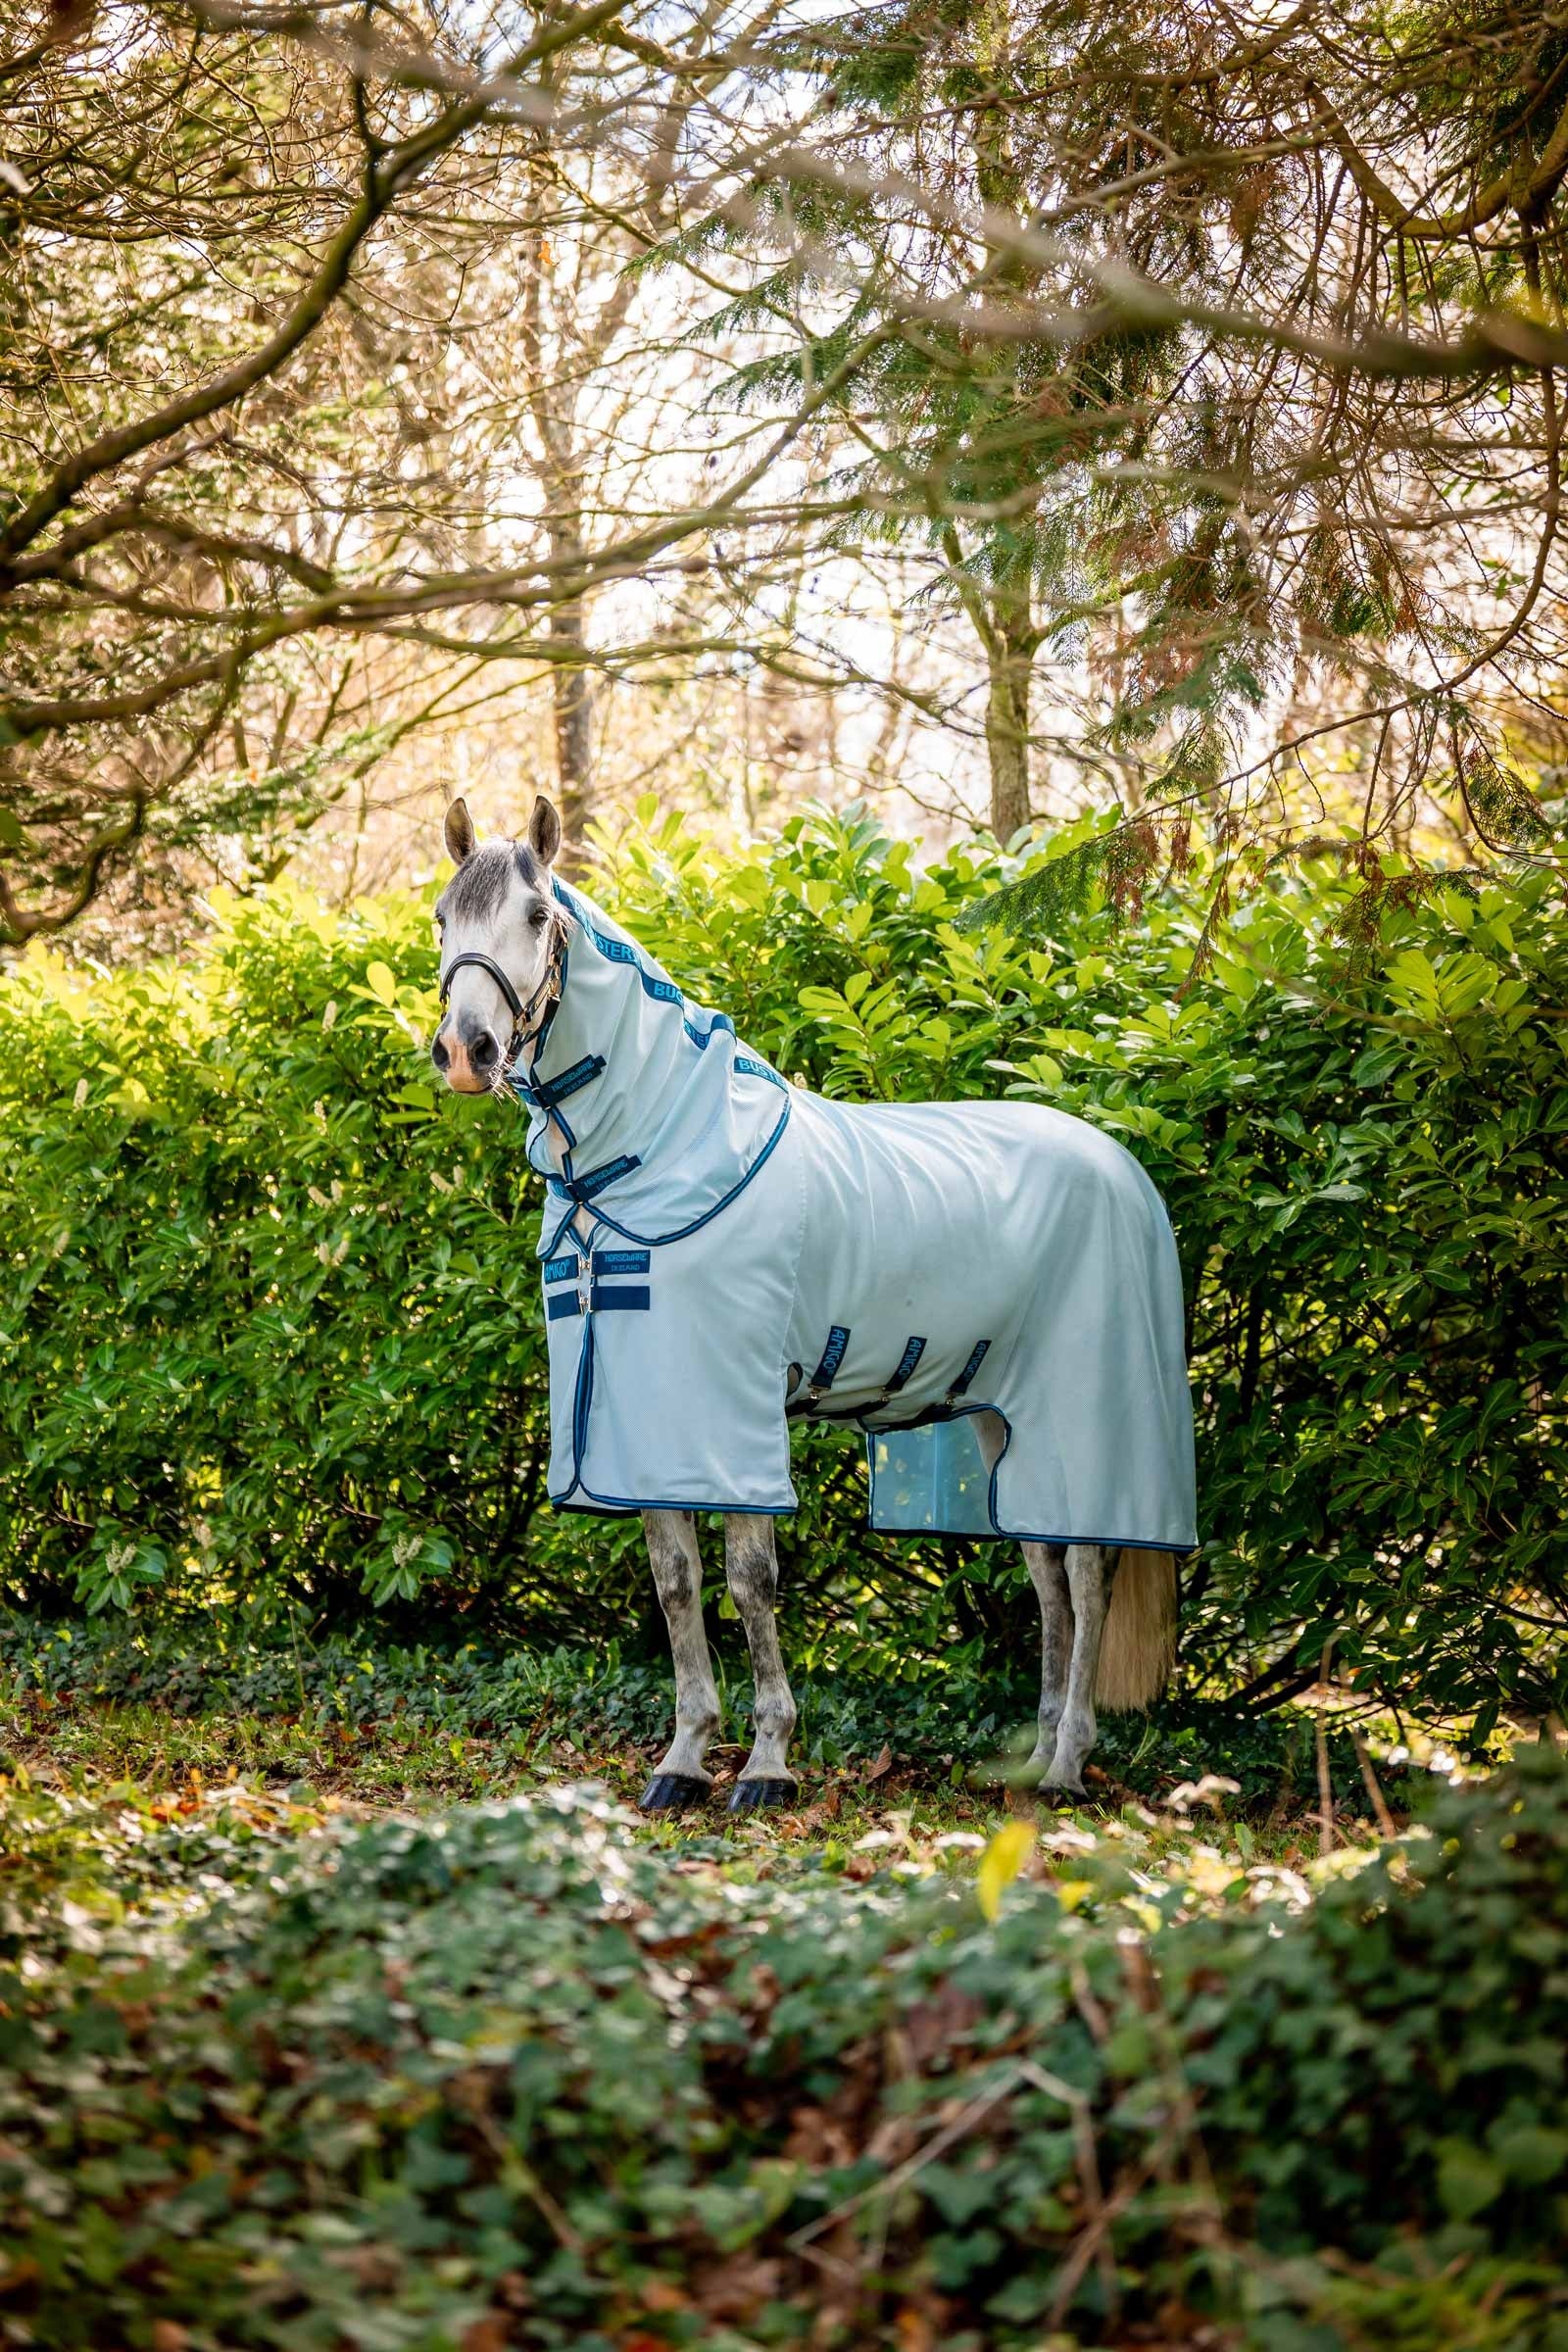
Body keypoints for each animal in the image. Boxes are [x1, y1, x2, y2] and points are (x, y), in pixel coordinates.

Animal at [429, 794, 1197, 1811]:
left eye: (535, 915)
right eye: (444, 919)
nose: (465, 1051)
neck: (659, 1147)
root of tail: (1122, 1165)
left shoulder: (732, 1416)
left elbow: (751, 1582)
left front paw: (766, 1763)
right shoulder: (649, 1429)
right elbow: (676, 1585)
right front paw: (682, 1761)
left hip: (1084, 1423)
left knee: (1089, 1569)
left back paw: (1068, 1765)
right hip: (1004, 1420)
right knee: (1047, 1575)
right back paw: (1033, 1760)